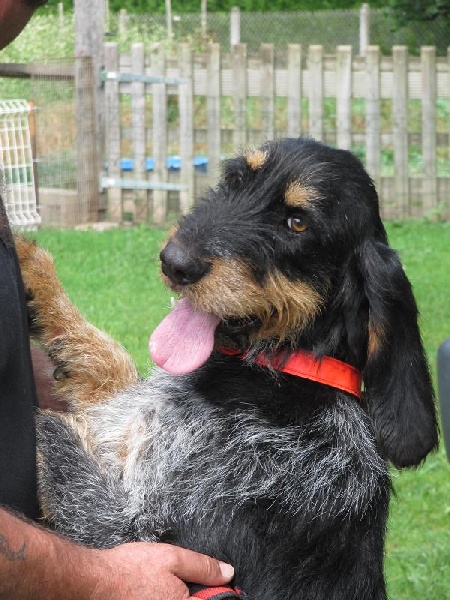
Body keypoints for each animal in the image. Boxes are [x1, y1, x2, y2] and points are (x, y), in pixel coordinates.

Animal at [17, 137, 438, 600]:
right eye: (235, 181)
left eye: (296, 223)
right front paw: (35, 273)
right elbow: (109, 362)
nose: (174, 262)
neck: (284, 371)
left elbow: (53, 435)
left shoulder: (138, 538)